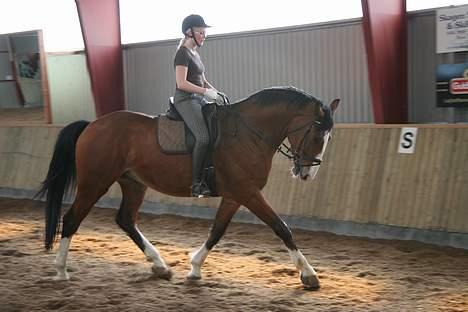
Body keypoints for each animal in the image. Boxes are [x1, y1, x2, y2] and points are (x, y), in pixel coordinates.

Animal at [36, 86, 336, 288]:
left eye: (328, 137)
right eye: (317, 135)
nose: (308, 173)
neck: (249, 133)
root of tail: (92, 125)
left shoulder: (235, 195)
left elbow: (217, 231)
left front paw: (194, 268)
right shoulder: (248, 193)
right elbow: (281, 227)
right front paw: (309, 275)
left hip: (133, 183)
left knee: (126, 220)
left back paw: (160, 266)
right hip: (95, 182)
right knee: (71, 219)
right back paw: (61, 270)